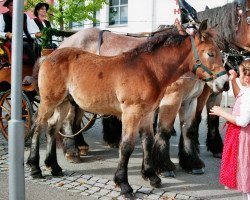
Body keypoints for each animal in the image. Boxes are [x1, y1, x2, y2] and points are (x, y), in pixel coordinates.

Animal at [27, 20, 229, 197]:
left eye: (220, 53)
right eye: (210, 53)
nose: (225, 84)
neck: (149, 70)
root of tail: (48, 56)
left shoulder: (148, 113)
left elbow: (148, 141)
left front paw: (151, 175)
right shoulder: (132, 112)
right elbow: (126, 146)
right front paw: (124, 185)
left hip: (63, 102)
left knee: (52, 128)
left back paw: (54, 166)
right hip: (49, 102)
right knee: (39, 126)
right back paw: (36, 167)